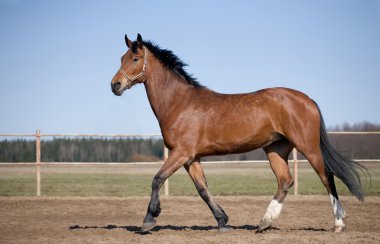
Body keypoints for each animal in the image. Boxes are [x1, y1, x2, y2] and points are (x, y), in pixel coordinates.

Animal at [110, 33, 368, 234]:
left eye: (135, 58)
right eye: (122, 58)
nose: (115, 85)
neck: (180, 103)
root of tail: (308, 100)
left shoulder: (181, 153)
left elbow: (157, 179)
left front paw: (149, 220)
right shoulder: (191, 158)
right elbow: (203, 190)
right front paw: (223, 221)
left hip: (309, 146)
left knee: (327, 177)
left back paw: (338, 223)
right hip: (275, 149)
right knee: (285, 181)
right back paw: (264, 222)